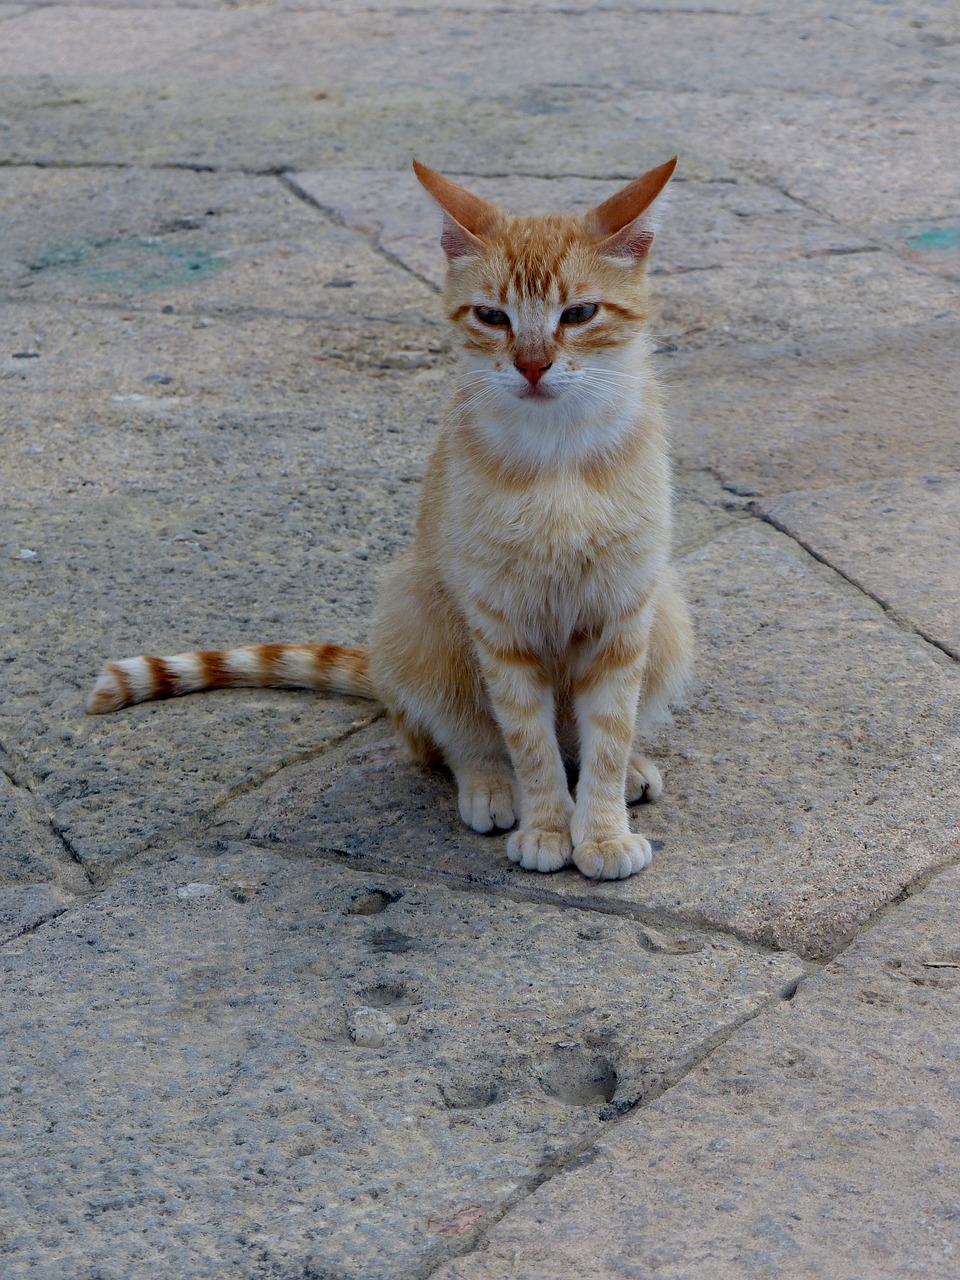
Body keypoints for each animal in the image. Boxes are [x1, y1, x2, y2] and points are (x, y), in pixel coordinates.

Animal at [88, 157, 691, 880]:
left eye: (579, 314)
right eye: (492, 316)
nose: (532, 365)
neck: (557, 454)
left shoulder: (625, 610)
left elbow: (607, 734)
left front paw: (600, 828)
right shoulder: (499, 625)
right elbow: (529, 739)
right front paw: (549, 824)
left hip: (669, 611)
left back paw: (631, 770)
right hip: (415, 607)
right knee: (448, 738)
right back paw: (490, 784)